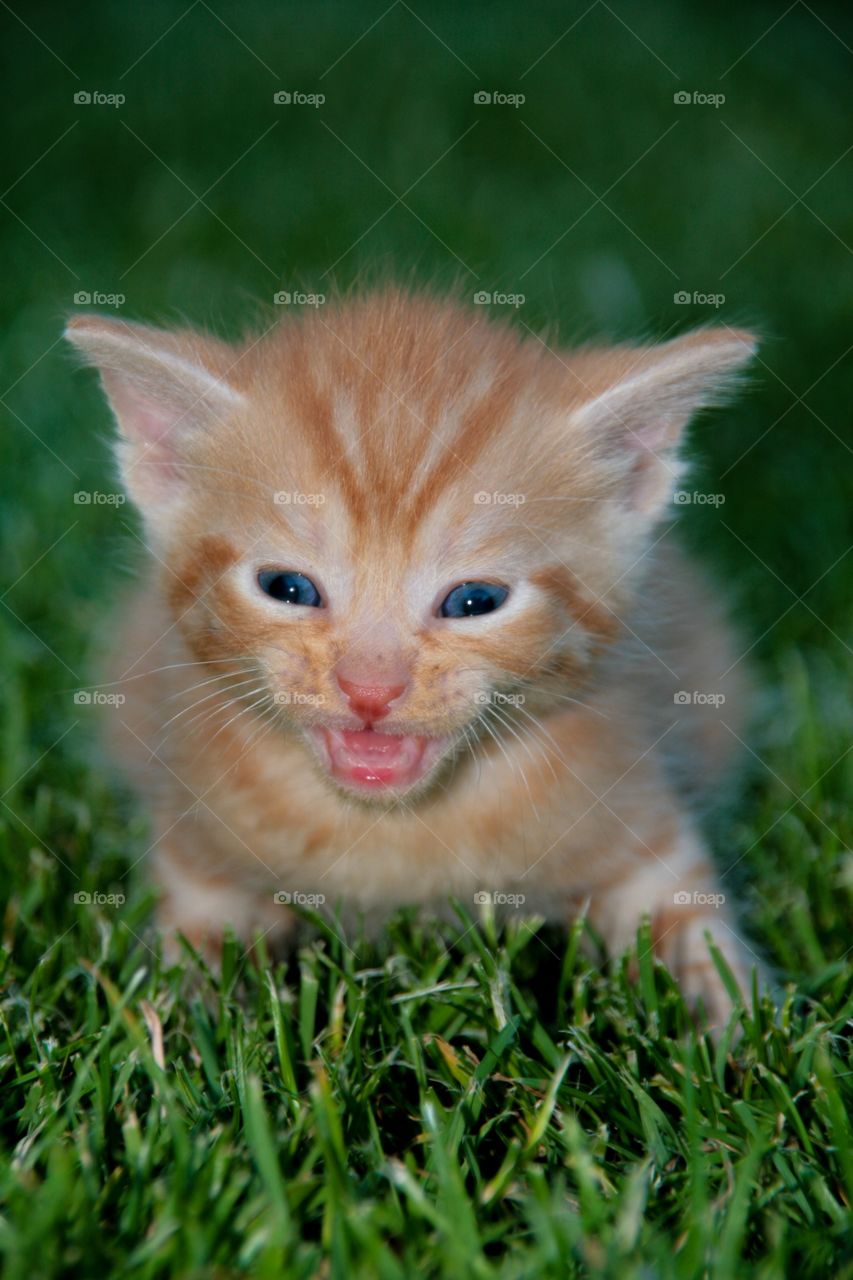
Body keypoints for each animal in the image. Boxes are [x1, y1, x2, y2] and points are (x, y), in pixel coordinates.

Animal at [64, 290, 758, 1029]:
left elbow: (700, 941)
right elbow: (187, 964)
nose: (369, 689)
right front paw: (183, 1027)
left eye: (475, 600)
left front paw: (726, 1032)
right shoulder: (196, 850)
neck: (394, 834)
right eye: (287, 588)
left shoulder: (644, 827)